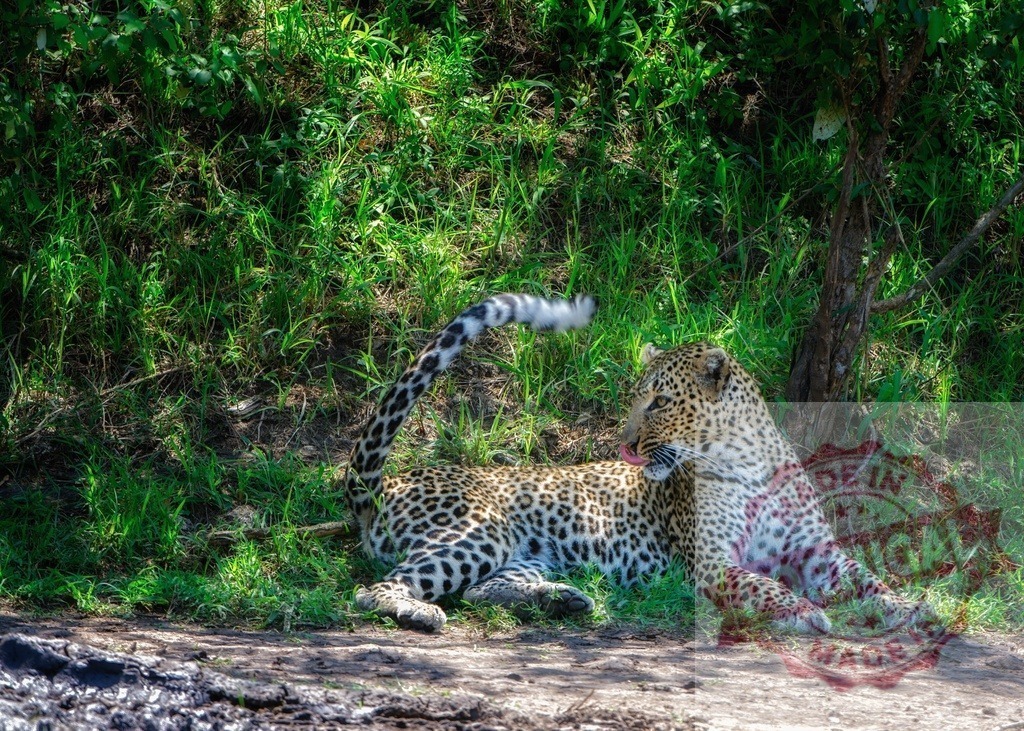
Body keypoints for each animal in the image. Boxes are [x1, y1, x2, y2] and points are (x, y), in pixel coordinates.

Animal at [345, 293, 936, 634]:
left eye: (658, 402)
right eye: (636, 398)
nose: (624, 444)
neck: (748, 460)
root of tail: (384, 486)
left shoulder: (816, 554)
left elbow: (868, 580)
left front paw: (911, 608)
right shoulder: (713, 564)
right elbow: (765, 587)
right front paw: (804, 612)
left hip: (526, 550)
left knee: (480, 589)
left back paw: (563, 602)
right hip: (479, 528)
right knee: (374, 590)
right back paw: (418, 611)